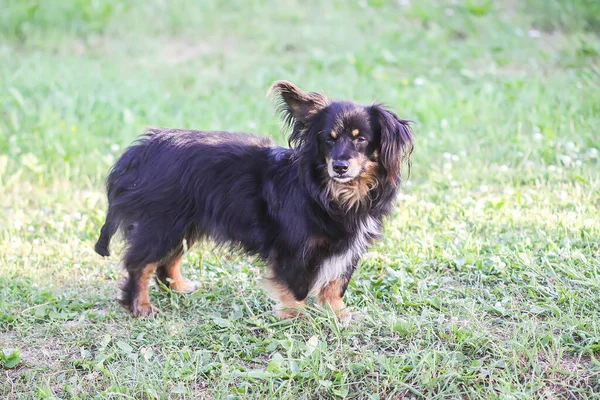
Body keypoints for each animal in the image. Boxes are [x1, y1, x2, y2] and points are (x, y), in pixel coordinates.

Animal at [95, 80, 412, 318]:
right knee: (140, 264)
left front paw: (339, 314)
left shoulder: (348, 248)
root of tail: (141, 149)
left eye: (361, 139)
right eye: (329, 139)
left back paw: (180, 288)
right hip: (161, 224)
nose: (340, 166)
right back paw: (140, 306)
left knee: (167, 261)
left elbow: (335, 284)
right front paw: (298, 315)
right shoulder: (293, 248)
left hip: (183, 224)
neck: (335, 194)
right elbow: (295, 285)